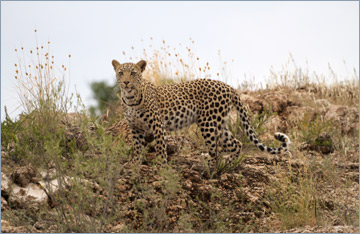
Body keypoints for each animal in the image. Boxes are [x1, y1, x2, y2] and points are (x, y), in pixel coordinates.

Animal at [111, 59, 292, 167]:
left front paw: (161, 165)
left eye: (133, 73)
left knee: (214, 151)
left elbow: (161, 147)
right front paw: (134, 164)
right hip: (219, 124)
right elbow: (136, 148)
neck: (131, 99)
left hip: (208, 123)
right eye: (121, 73)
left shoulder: (157, 126)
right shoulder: (135, 128)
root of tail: (229, 87)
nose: (126, 82)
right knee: (236, 144)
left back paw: (208, 169)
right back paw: (227, 164)